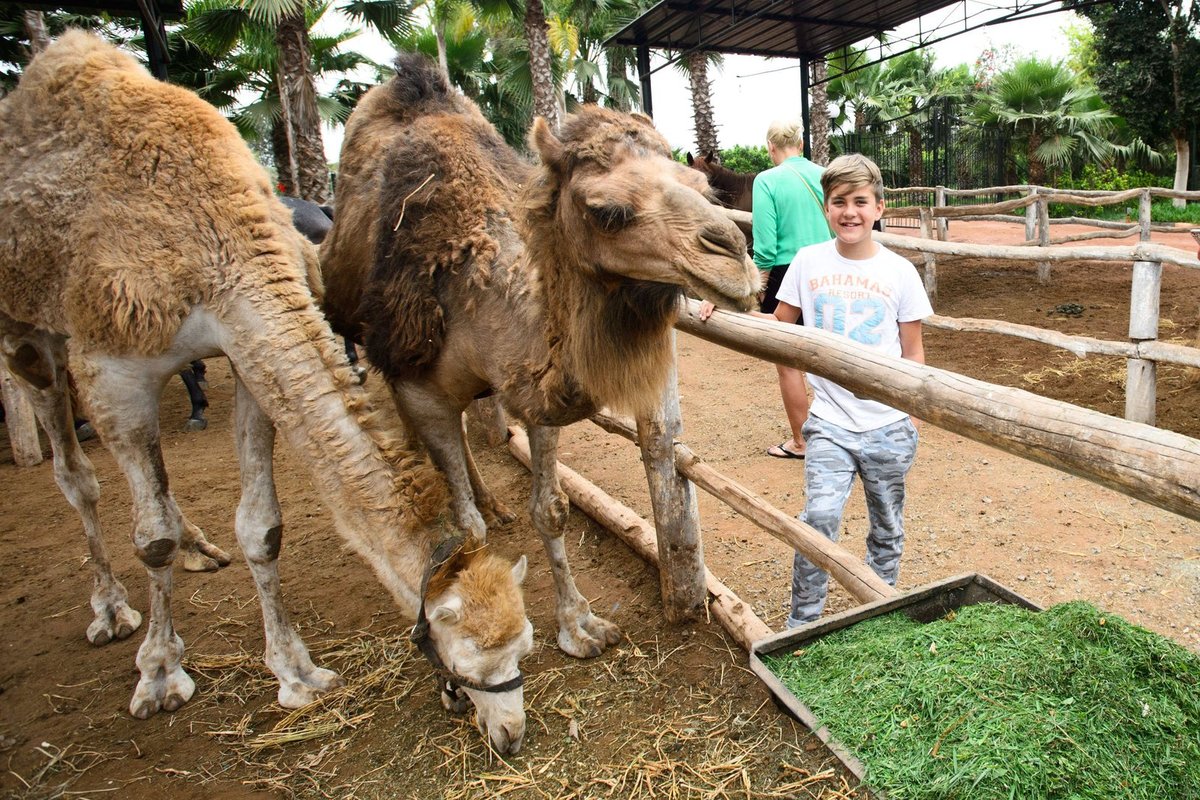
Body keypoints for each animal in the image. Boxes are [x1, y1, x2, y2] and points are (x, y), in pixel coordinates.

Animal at [0, 32, 535, 758]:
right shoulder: (113, 369)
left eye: (524, 647)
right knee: (75, 471)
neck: (217, 248)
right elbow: (149, 537)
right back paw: (111, 609)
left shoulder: (249, 351)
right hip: (30, 333)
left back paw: (199, 549)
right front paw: (160, 674)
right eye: (467, 656)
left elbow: (263, 528)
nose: (511, 734)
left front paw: (297, 672)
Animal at [321, 54, 758, 657]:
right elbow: (468, 533)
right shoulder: (420, 384)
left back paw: (492, 501)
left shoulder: (532, 396)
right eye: (607, 211)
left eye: (703, 187)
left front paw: (580, 626)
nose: (735, 254)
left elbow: (550, 509)